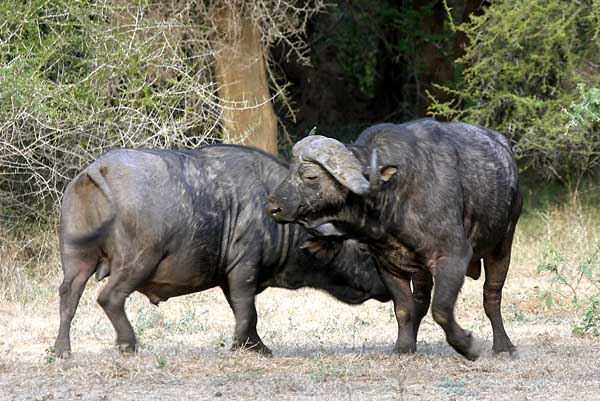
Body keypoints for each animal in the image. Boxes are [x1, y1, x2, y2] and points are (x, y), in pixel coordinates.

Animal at [54, 145, 392, 358]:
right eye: (363, 249)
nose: (387, 288)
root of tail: (99, 168)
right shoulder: (244, 268)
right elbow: (247, 309)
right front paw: (241, 346)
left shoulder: (231, 277)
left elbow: (243, 311)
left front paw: (256, 346)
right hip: (138, 261)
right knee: (109, 298)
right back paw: (128, 344)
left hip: (76, 262)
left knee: (68, 299)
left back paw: (61, 350)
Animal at [270, 119, 524, 360]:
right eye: (290, 170)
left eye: (310, 176)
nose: (273, 207)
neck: (392, 198)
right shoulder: (386, 263)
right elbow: (404, 308)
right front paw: (403, 347)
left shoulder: (453, 256)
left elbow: (441, 309)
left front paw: (467, 346)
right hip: (421, 270)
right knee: (421, 300)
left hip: (503, 245)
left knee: (491, 295)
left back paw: (504, 347)